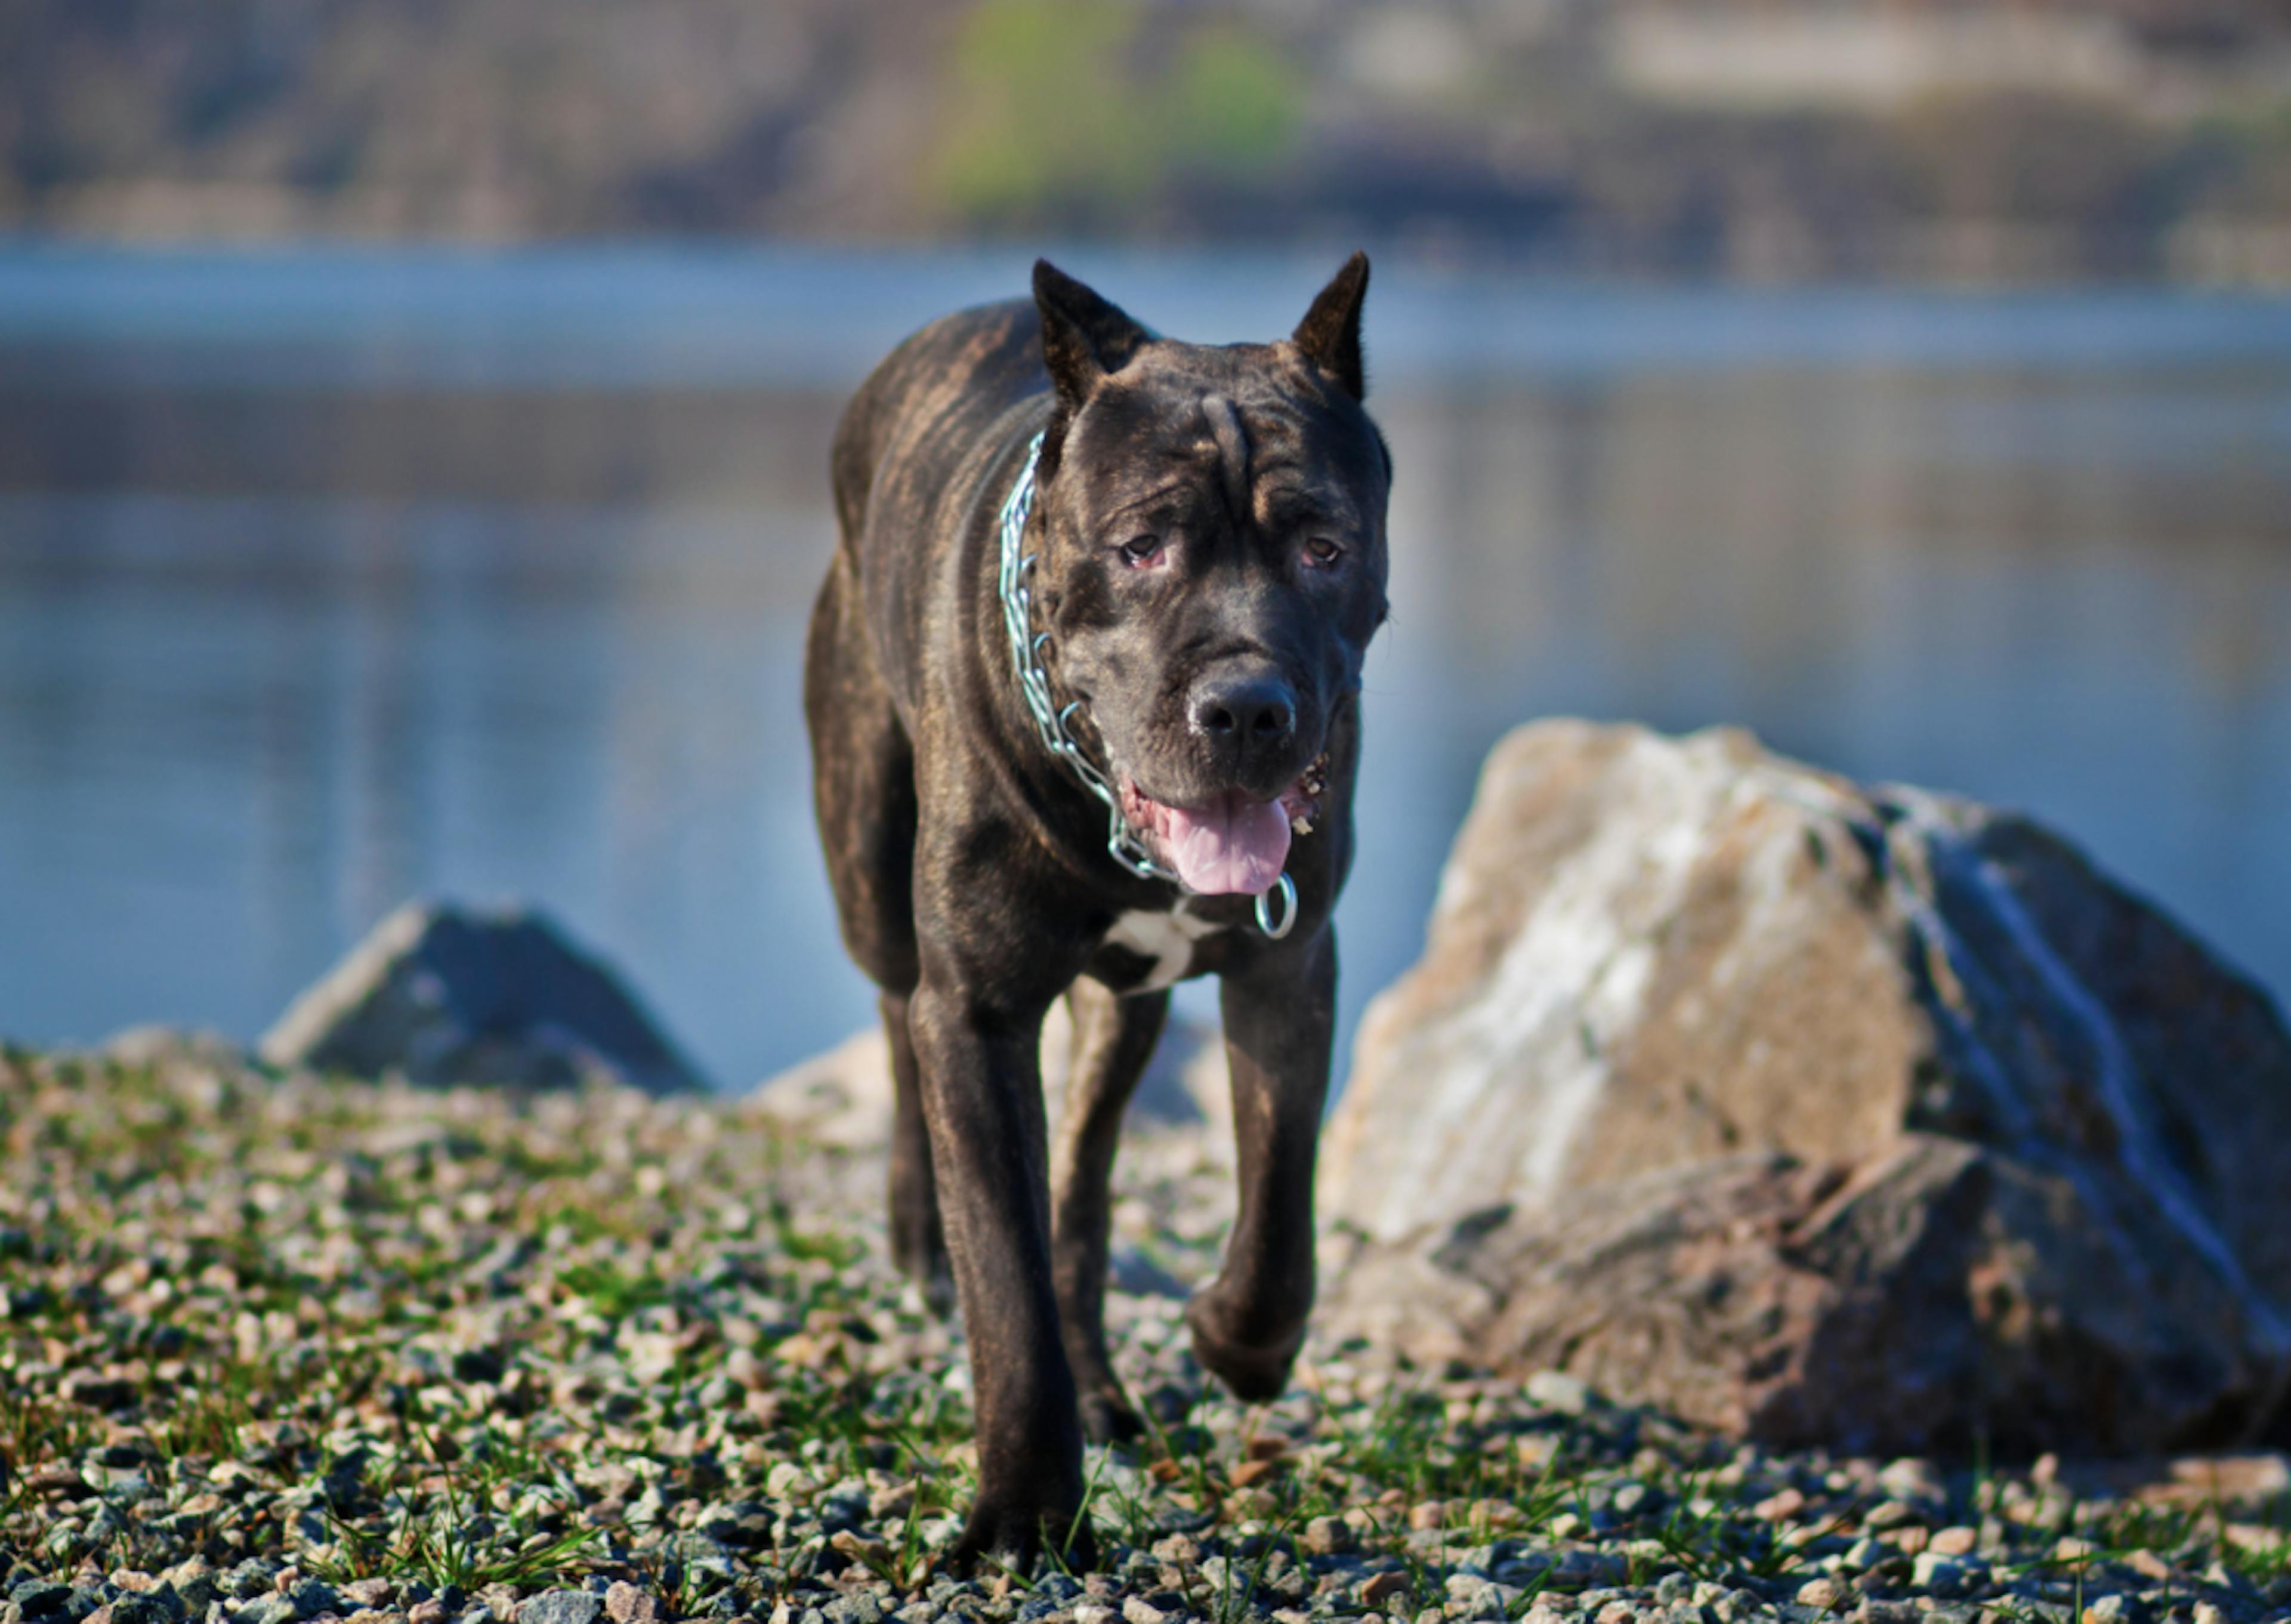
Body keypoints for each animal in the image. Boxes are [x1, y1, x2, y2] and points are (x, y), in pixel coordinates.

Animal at [806, 256, 1392, 1567]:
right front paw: (1025, 1508)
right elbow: (1006, 1278)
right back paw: (918, 1235)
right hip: (865, 857)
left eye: (1325, 545)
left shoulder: (1291, 966)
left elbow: (1276, 1209)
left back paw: (1113, 1385)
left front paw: (1234, 1339)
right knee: (893, 1010)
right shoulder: (977, 1013)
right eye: (1140, 548)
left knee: (1079, 1190)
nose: (1247, 704)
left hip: (1125, 1013)